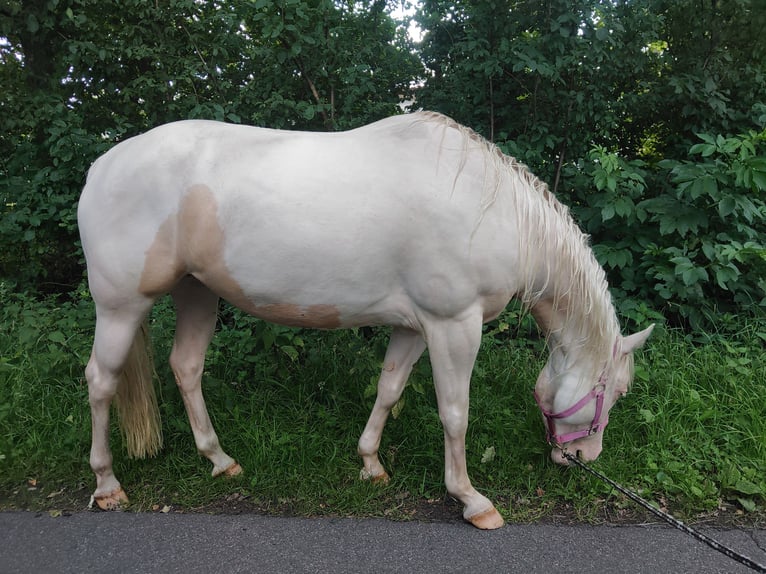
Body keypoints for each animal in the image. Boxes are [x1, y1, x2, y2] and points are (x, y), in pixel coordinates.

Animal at [78, 111, 656, 532]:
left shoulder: (414, 326)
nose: (582, 456)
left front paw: (371, 463)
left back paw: (219, 459)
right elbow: (455, 414)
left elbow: (389, 389)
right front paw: (471, 499)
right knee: (101, 382)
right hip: (121, 306)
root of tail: (101, 166)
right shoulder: (454, 326)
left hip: (197, 294)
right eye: (616, 391)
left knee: (186, 367)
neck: (492, 209)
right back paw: (107, 484)